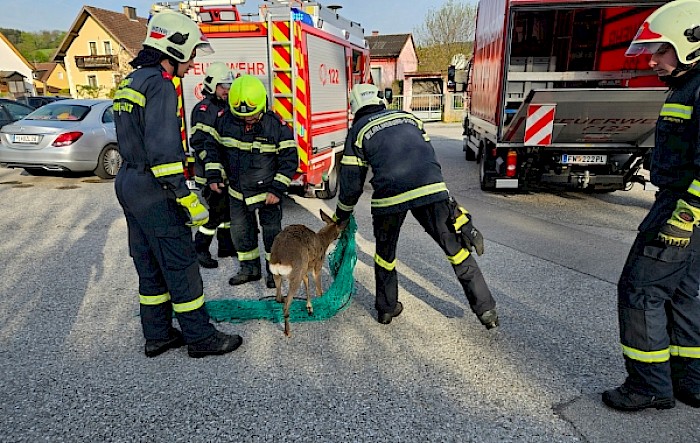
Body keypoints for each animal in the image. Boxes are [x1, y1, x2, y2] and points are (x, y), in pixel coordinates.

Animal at [266, 210, 348, 338]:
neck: (323, 241)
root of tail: (279, 260)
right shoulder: (317, 266)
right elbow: (319, 289)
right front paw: (321, 304)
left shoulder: (305, 269)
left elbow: (307, 284)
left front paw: (309, 307)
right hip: (296, 273)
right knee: (286, 305)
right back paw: (288, 332)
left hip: (279, 274)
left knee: (278, 297)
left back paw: (283, 301)